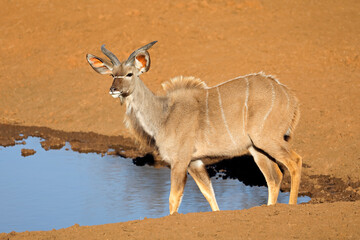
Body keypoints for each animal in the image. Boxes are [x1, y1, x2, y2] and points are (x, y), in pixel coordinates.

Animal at [86, 40, 302, 214]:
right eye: (112, 75)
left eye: (130, 74)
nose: (113, 89)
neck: (163, 115)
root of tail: (290, 97)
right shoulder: (194, 162)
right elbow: (209, 194)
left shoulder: (179, 161)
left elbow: (174, 199)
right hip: (256, 148)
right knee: (274, 177)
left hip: (267, 139)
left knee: (294, 161)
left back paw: (291, 206)